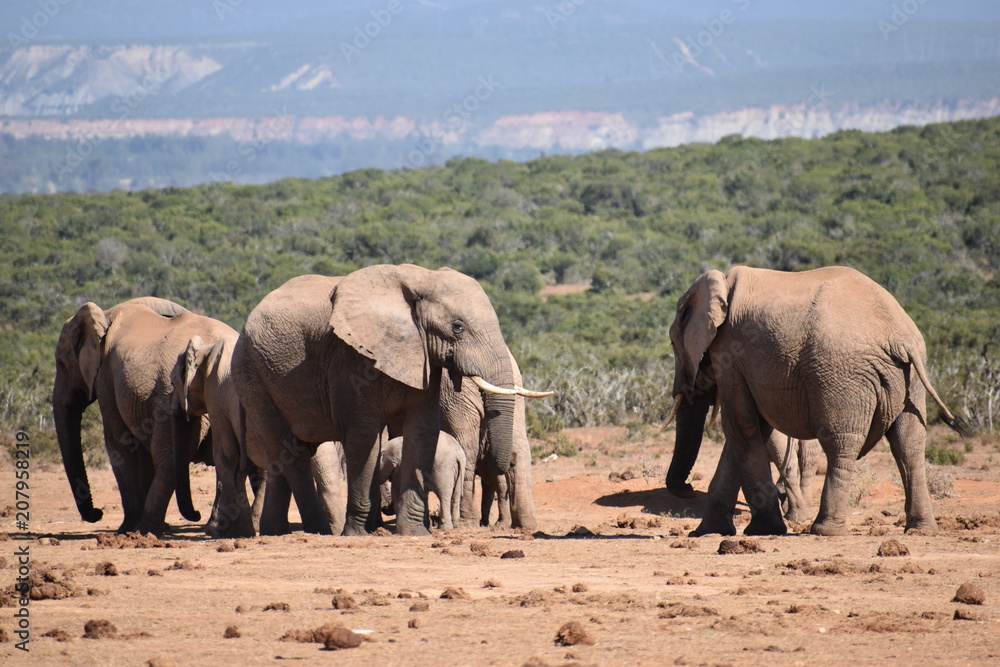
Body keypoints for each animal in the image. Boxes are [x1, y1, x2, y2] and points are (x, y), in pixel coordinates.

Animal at [53, 297, 233, 534]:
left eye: (61, 364)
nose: (98, 513)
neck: (105, 315)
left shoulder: (106, 377)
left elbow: (119, 445)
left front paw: (126, 528)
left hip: (168, 400)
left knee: (166, 458)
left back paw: (147, 528)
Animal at [232, 266, 544, 536]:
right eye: (457, 327)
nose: (506, 461)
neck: (420, 279)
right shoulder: (351, 357)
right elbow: (363, 432)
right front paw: (359, 534)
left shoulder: (423, 360)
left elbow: (422, 429)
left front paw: (414, 533)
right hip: (253, 374)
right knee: (289, 452)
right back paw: (318, 530)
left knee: (284, 454)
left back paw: (276, 532)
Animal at [664, 265, 967, 537]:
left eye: (673, 345)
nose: (686, 488)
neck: (722, 283)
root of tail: (900, 337)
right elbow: (752, 430)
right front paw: (708, 532)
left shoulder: (730, 353)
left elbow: (742, 427)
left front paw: (763, 530)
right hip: (911, 379)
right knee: (909, 443)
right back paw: (920, 530)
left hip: (842, 373)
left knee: (840, 443)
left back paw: (825, 530)